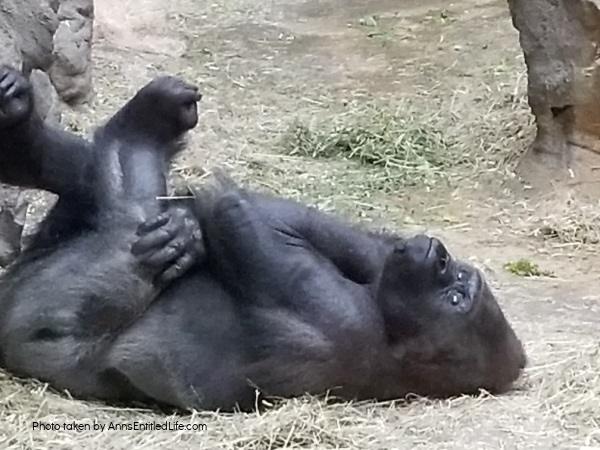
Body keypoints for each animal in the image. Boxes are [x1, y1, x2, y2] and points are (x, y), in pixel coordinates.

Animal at [0, 65, 524, 414]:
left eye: (456, 297)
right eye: (459, 277)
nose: (439, 256)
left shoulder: (343, 323)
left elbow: (242, 223)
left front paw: (195, 220)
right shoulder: (374, 271)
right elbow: (320, 231)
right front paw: (189, 225)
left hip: (28, 317)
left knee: (124, 231)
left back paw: (140, 129)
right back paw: (26, 132)